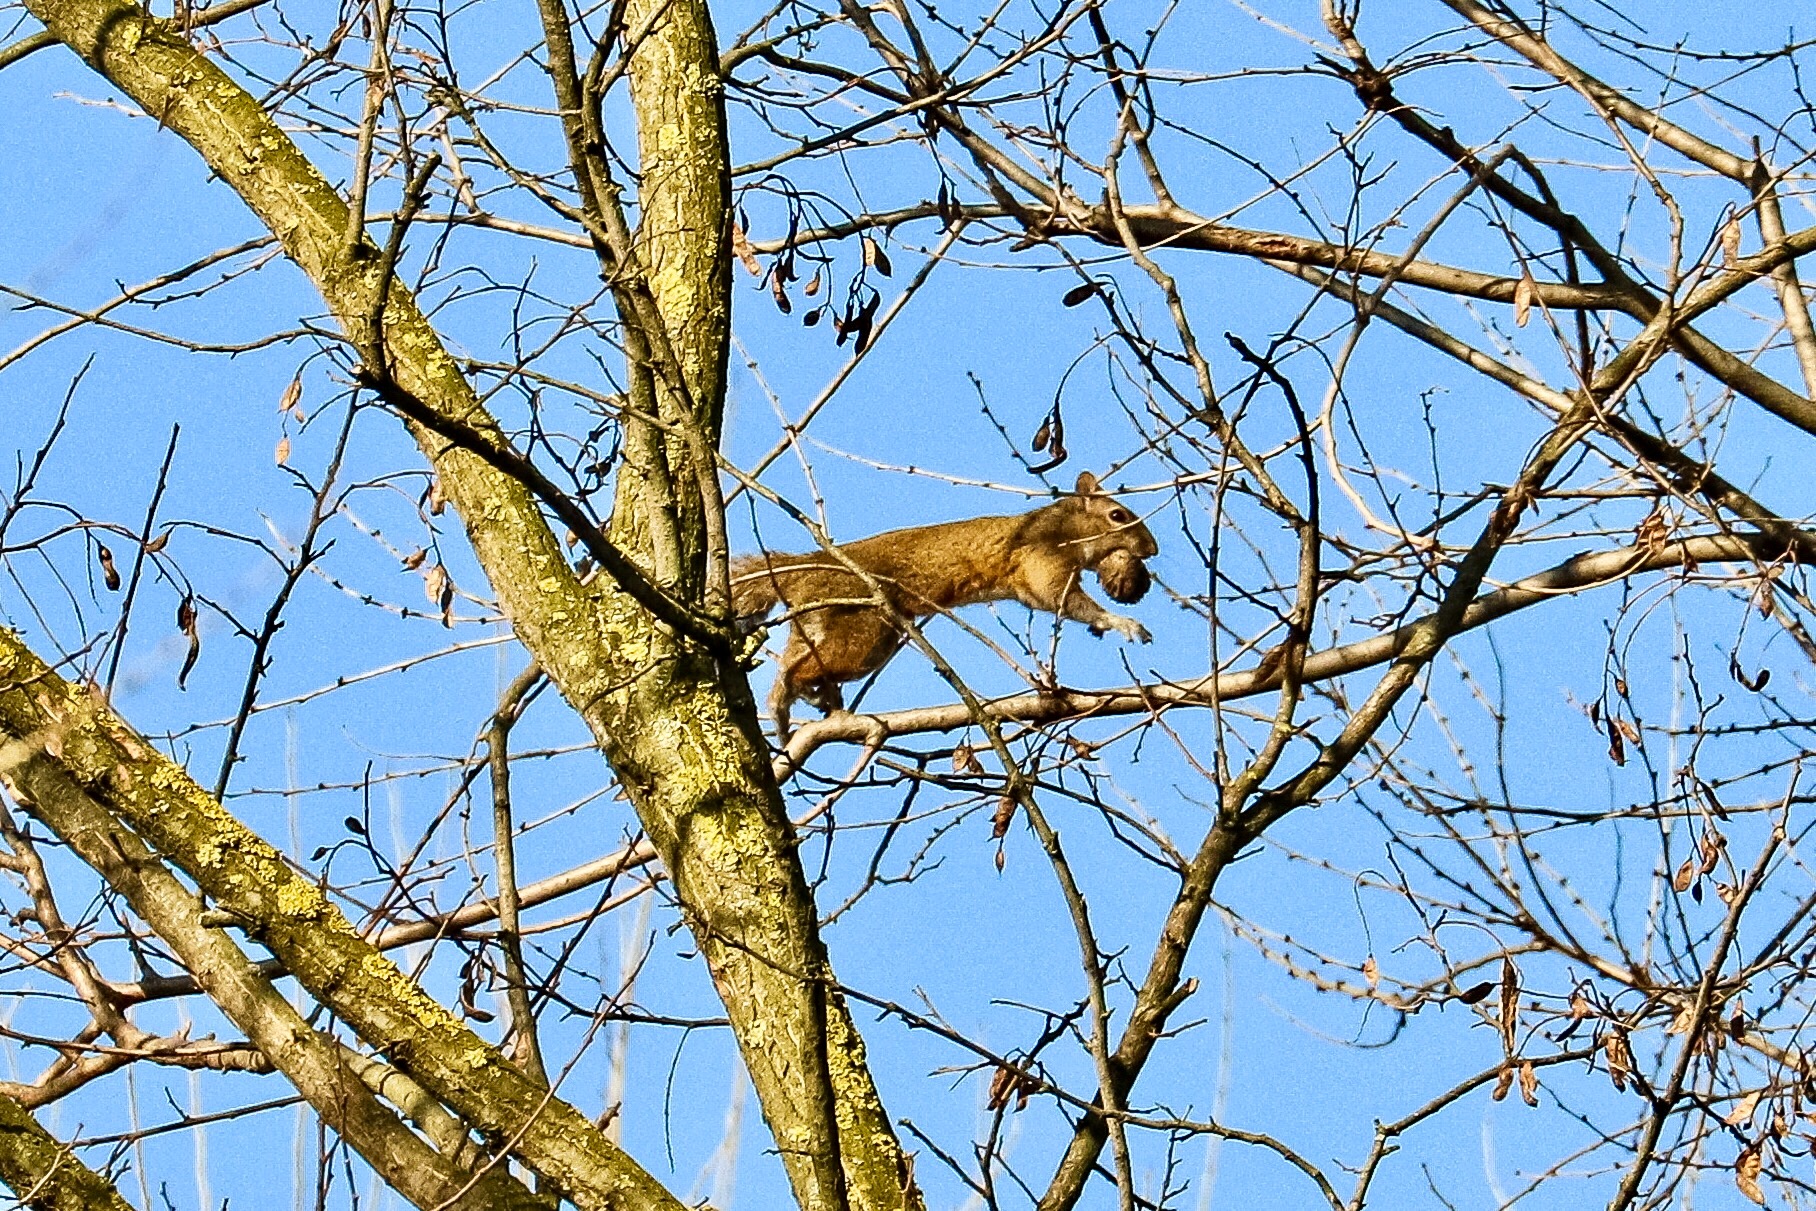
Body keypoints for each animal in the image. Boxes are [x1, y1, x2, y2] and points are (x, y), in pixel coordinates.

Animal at [733, 471, 1159, 738]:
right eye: (1117, 515)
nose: (1152, 549)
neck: (1063, 528)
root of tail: (804, 566)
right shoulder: (1040, 556)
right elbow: (1059, 598)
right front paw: (1122, 622)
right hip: (863, 631)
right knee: (802, 668)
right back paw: (795, 697)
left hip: (819, 623)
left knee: (793, 662)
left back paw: (790, 706)